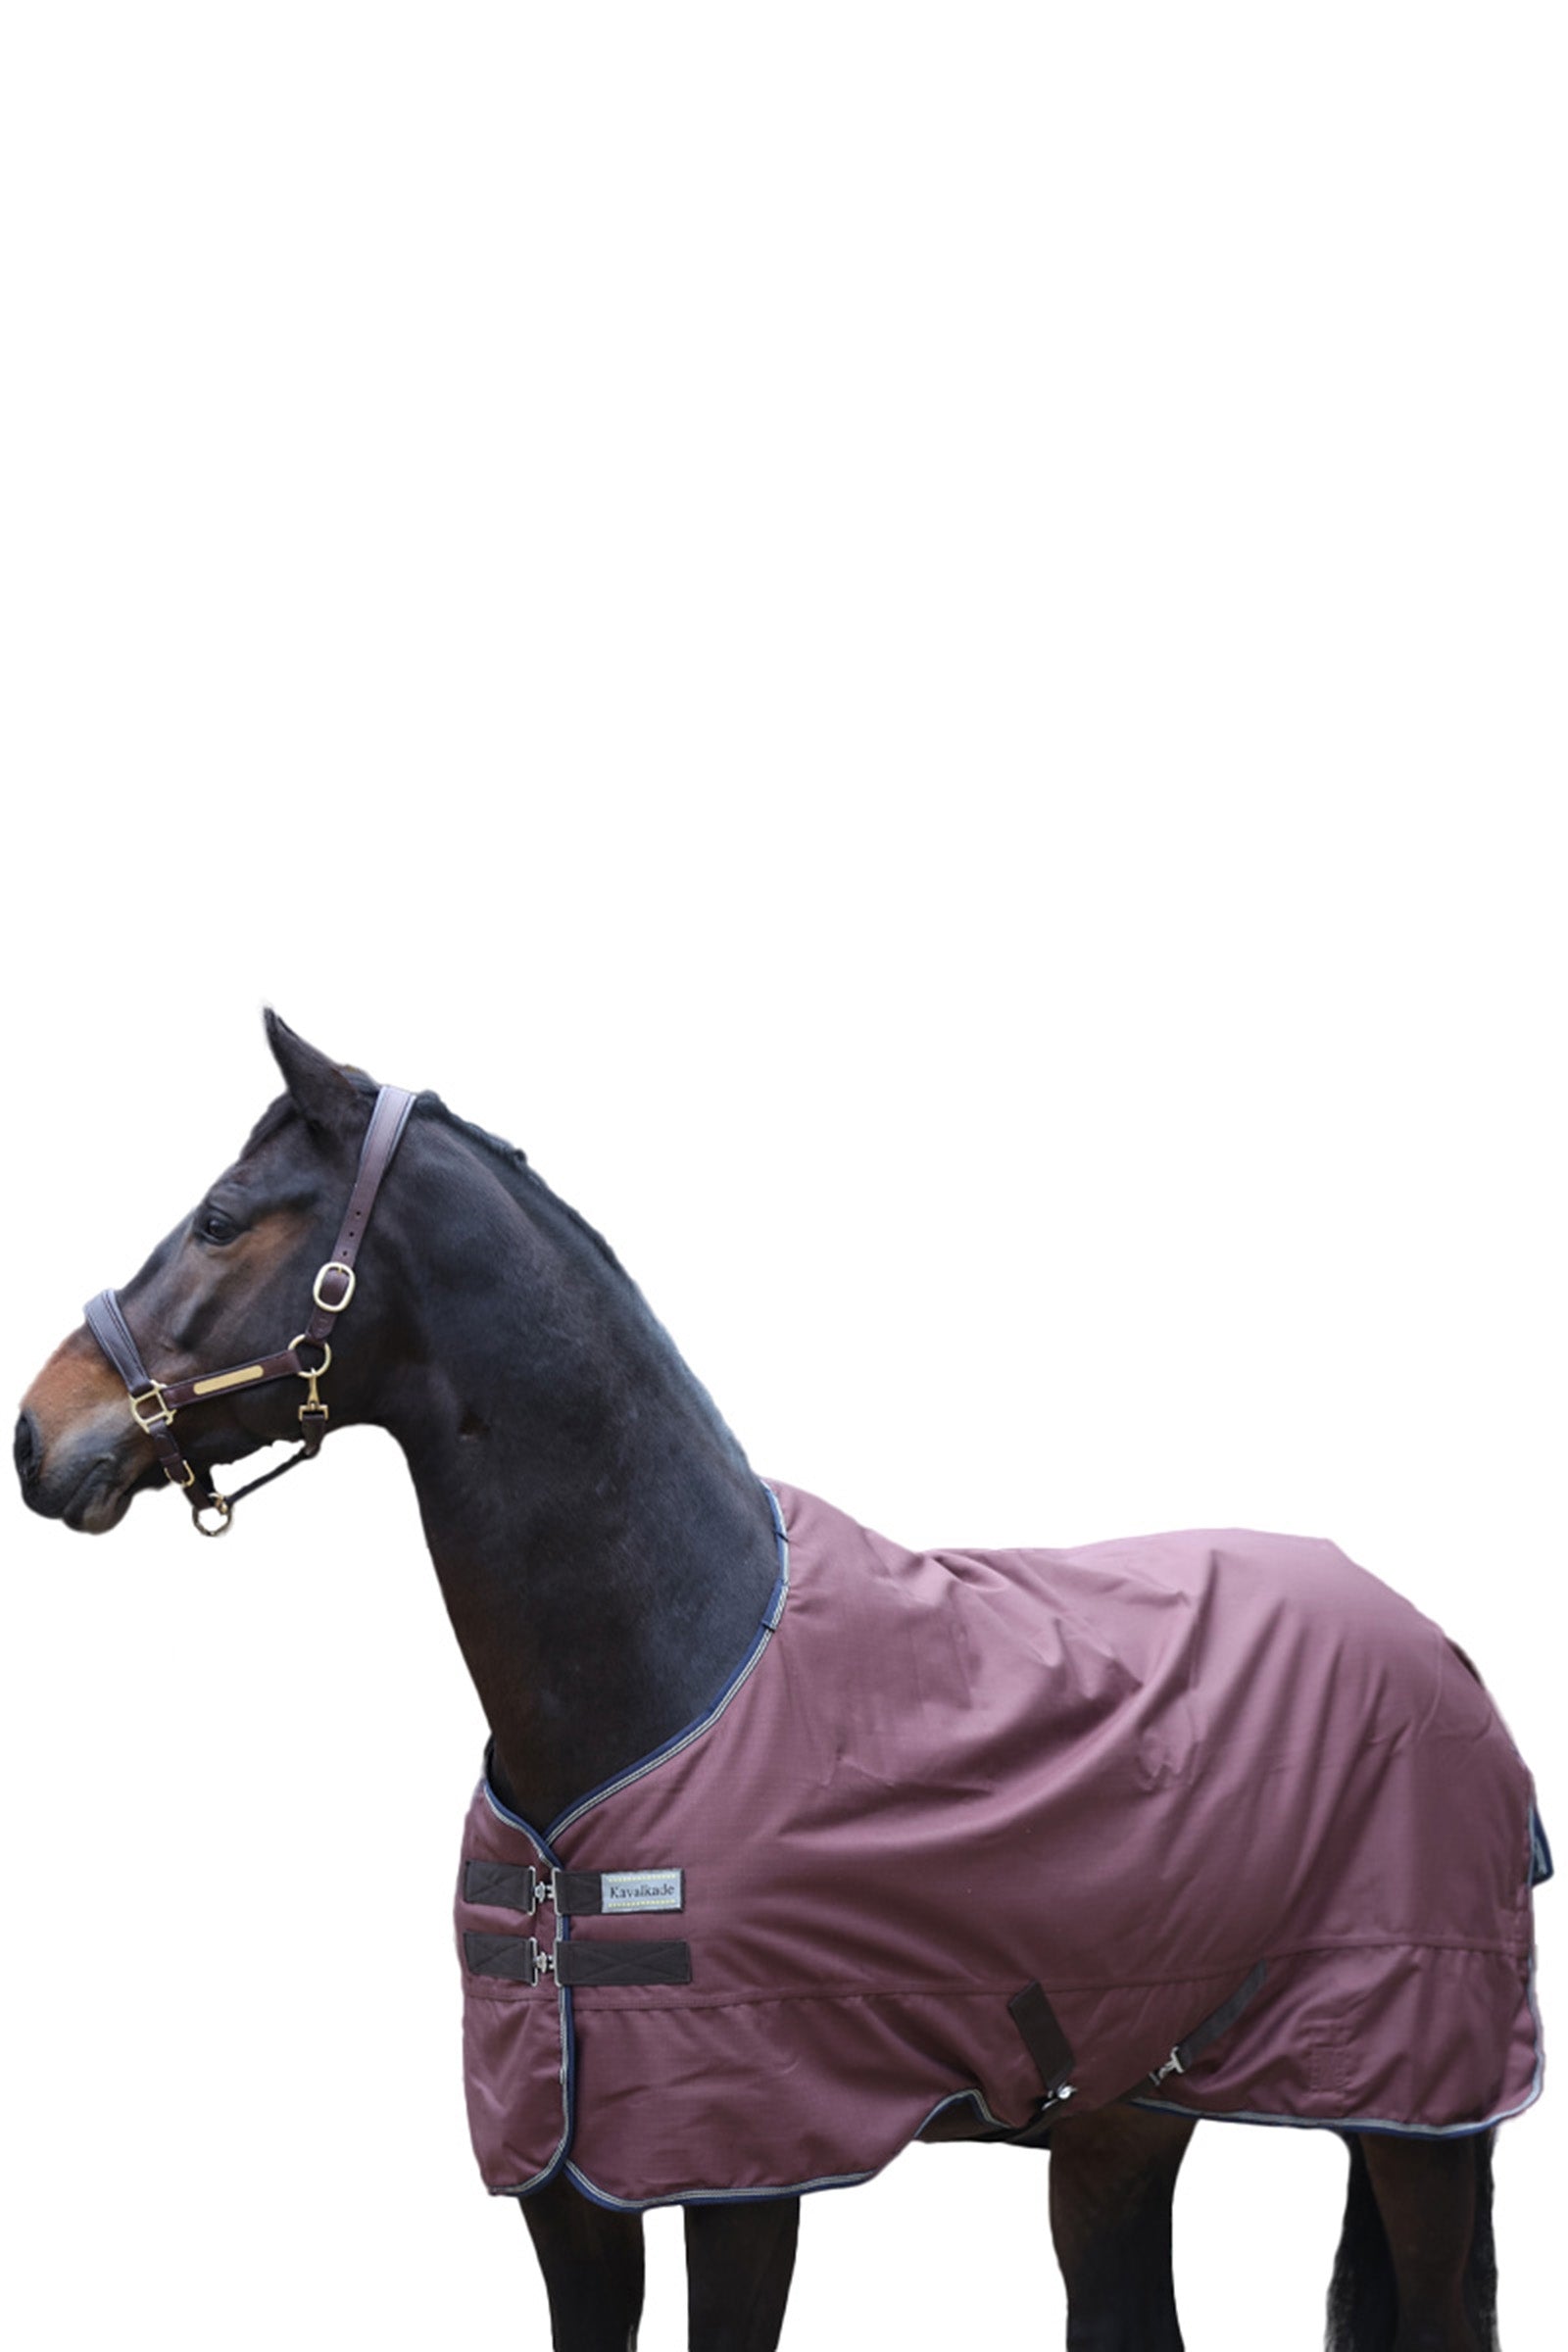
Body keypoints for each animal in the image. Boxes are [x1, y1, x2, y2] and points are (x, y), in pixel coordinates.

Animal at [15, 1012, 1543, 2352]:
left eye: (223, 1217)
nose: (37, 1435)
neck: (672, 1662)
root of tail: (1440, 1646)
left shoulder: (741, 2167)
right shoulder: (566, 2177)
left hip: (1423, 2114)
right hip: (1128, 2111)